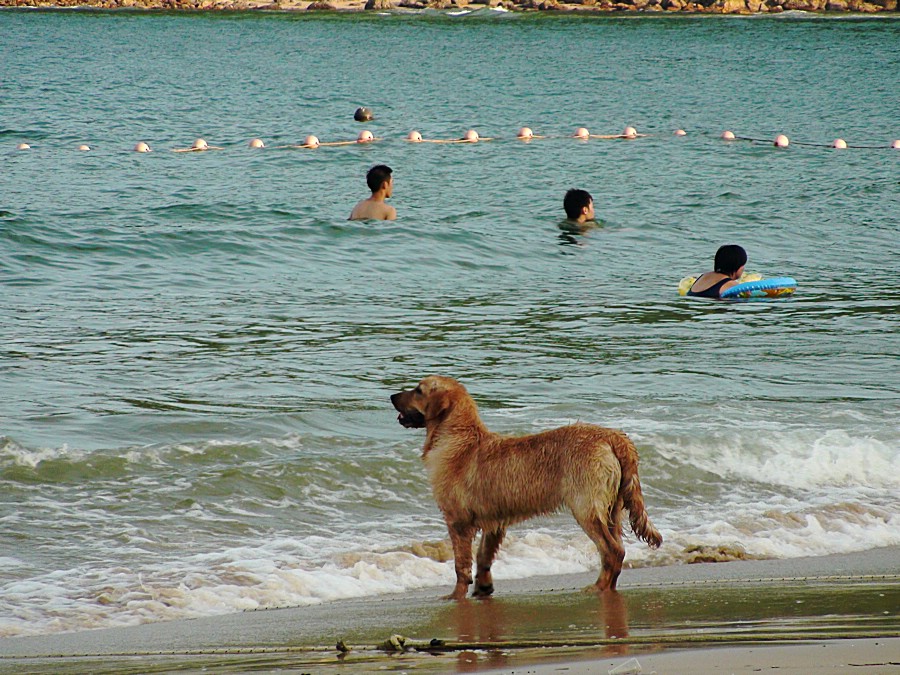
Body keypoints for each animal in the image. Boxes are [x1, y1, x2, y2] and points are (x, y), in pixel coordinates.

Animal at [392, 374, 660, 604]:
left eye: (418, 390)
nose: (392, 396)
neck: (458, 437)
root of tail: (612, 436)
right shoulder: (494, 521)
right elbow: (483, 556)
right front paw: (483, 587)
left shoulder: (457, 522)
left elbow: (461, 565)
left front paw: (456, 596)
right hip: (612, 509)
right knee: (618, 549)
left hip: (586, 509)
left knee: (611, 550)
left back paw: (598, 587)